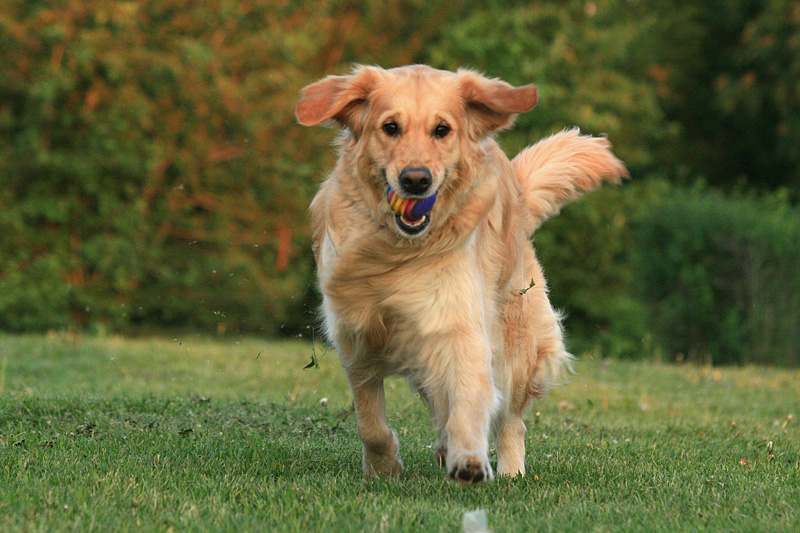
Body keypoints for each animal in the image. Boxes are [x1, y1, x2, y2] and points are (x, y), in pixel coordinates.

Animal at [296, 64, 628, 484]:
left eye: (442, 130)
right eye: (390, 127)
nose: (415, 179)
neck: (398, 250)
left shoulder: (458, 320)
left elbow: (471, 392)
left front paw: (469, 457)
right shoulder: (356, 334)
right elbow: (370, 421)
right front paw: (383, 466)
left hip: (513, 344)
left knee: (510, 419)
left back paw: (509, 469)